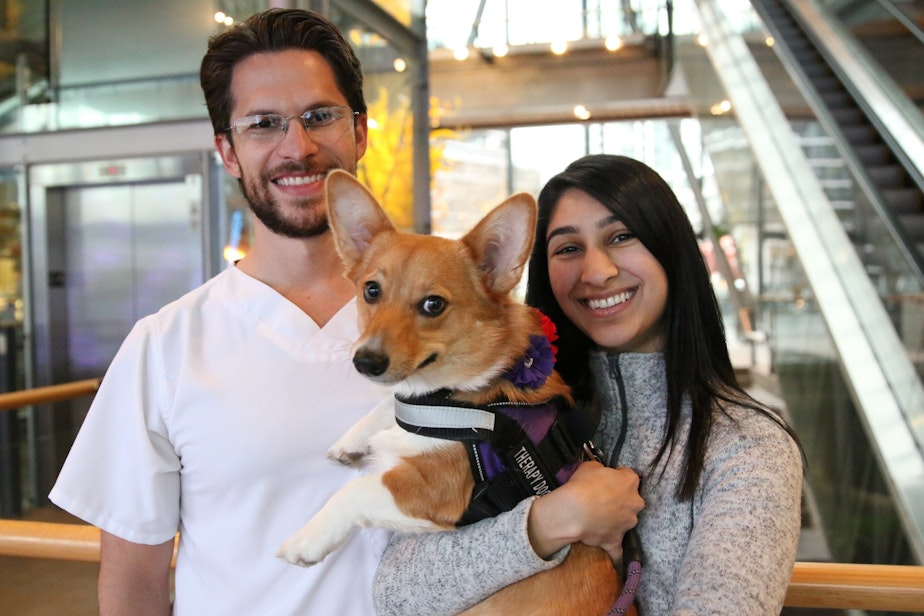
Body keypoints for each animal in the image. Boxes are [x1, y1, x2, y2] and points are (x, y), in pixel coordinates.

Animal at [278, 170, 632, 616]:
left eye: (433, 305)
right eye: (371, 290)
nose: (366, 361)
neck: (448, 401)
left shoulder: (434, 491)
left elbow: (355, 491)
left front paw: (306, 539)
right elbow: (384, 405)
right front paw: (352, 441)